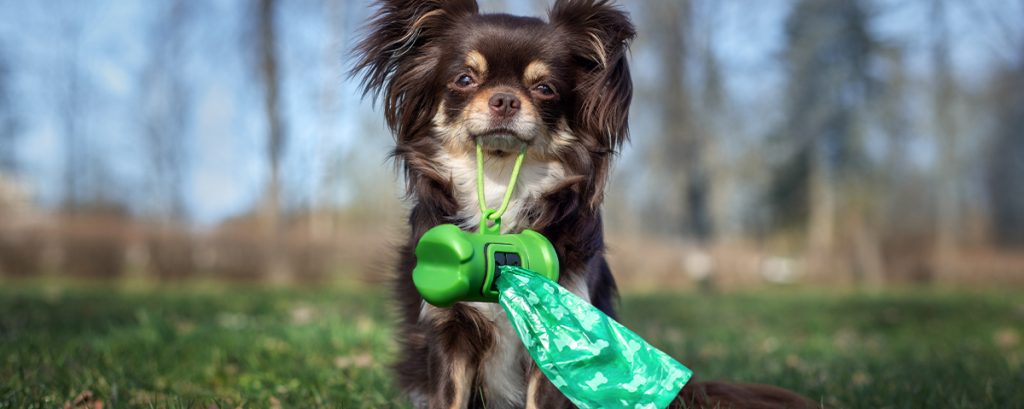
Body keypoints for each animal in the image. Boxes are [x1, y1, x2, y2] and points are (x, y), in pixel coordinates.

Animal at [356, 1, 819, 407]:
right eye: (465, 79)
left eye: (545, 89)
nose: (504, 99)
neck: (502, 184)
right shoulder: (449, 335)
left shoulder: (563, 330)